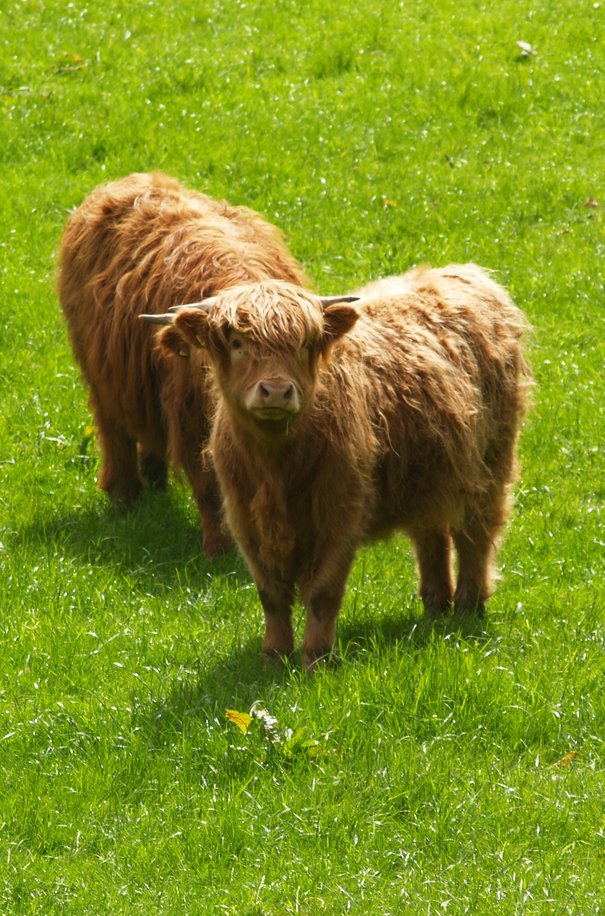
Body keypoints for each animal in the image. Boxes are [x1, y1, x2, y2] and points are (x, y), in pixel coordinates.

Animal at [57, 174, 306, 560]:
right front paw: (220, 550)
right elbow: (209, 486)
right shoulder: (191, 418)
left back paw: (154, 477)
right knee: (114, 429)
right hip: (101, 372)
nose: (275, 391)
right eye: (231, 347)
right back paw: (125, 497)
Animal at [149, 262, 532, 664]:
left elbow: (323, 592)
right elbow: (271, 594)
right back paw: (435, 608)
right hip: (427, 477)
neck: (276, 466)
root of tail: (466, 273)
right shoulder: (244, 519)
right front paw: (274, 656)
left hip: (490, 466)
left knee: (475, 535)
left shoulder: (340, 514)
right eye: (238, 344)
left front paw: (316, 658)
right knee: (431, 535)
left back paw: (467, 608)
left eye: (304, 344)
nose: (276, 391)